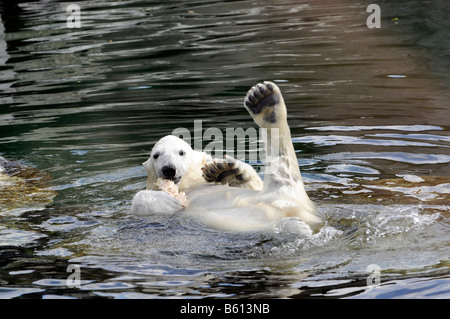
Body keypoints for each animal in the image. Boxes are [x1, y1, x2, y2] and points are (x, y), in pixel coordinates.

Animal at [132, 82, 322, 238]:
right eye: (156, 155)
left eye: (181, 152)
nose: (168, 169)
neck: (189, 186)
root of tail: (298, 208)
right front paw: (168, 200)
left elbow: (253, 184)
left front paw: (223, 170)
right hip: (233, 216)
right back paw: (289, 227)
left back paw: (265, 102)